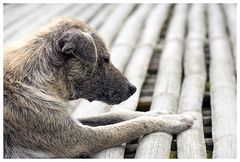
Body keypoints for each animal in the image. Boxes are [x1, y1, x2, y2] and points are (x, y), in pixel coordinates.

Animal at [3, 17, 195, 158]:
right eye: (105, 59)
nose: (133, 88)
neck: (34, 81)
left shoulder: (73, 122)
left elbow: (116, 114)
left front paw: (159, 113)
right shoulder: (83, 138)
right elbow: (135, 125)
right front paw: (173, 122)